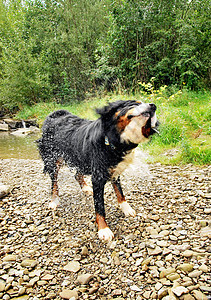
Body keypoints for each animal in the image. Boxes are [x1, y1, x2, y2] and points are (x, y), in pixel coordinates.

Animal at [37, 100, 158, 241]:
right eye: (133, 103)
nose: (153, 106)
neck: (115, 142)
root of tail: (55, 114)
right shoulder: (98, 177)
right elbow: (99, 206)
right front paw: (103, 229)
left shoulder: (114, 172)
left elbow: (120, 193)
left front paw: (127, 209)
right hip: (53, 159)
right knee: (54, 183)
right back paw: (54, 201)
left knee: (77, 175)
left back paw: (85, 188)